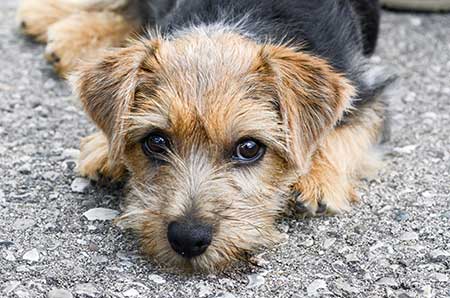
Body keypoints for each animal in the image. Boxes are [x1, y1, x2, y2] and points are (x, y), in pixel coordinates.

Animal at [17, 0, 388, 270]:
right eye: (156, 141)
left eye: (249, 148)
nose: (188, 239)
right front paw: (104, 147)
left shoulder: (368, 92)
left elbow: (347, 130)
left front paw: (319, 177)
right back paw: (51, 21)